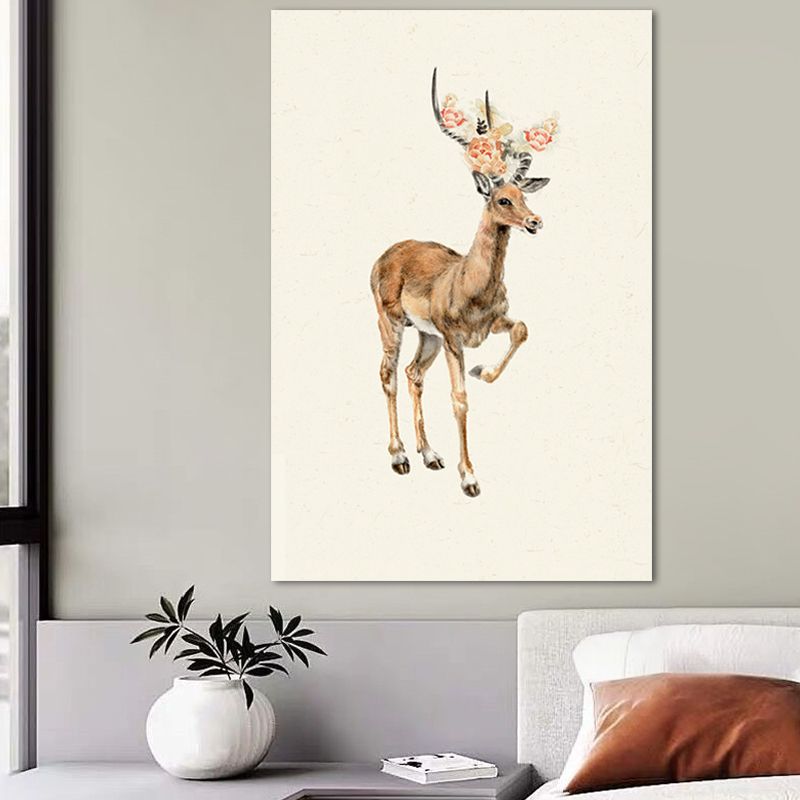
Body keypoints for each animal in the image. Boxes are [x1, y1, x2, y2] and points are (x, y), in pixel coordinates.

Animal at [370, 69, 556, 498]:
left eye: (523, 194)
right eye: (502, 199)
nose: (535, 221)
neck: (470, 281)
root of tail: (388, 253)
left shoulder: (489, 325)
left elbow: (522, 330)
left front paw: (482, 371)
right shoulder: (454, 339)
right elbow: (459, 399)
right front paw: (469, 477)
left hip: (427, 337)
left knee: (413, 375)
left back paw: (429, 455)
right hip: (393, 326)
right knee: (388, 375)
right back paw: (399, 457)